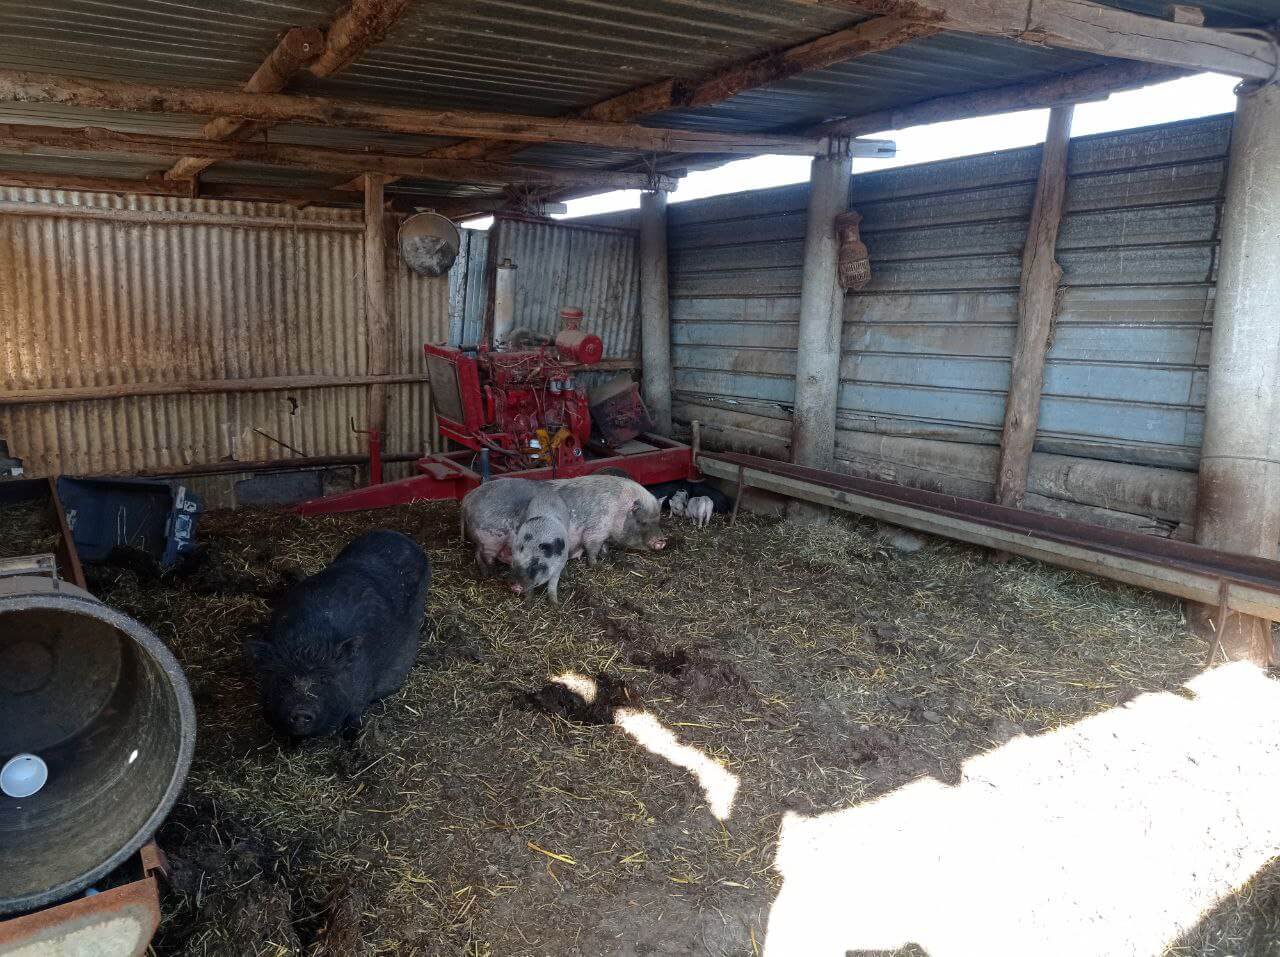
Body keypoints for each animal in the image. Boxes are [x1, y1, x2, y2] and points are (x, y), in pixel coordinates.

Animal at [247, 527, 432, 736]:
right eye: (285, 680)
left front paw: (351, 735)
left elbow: (355, 715)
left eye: (324, 679)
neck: (309, 643)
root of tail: (400, 537)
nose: (301, 710)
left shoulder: (361, 691)